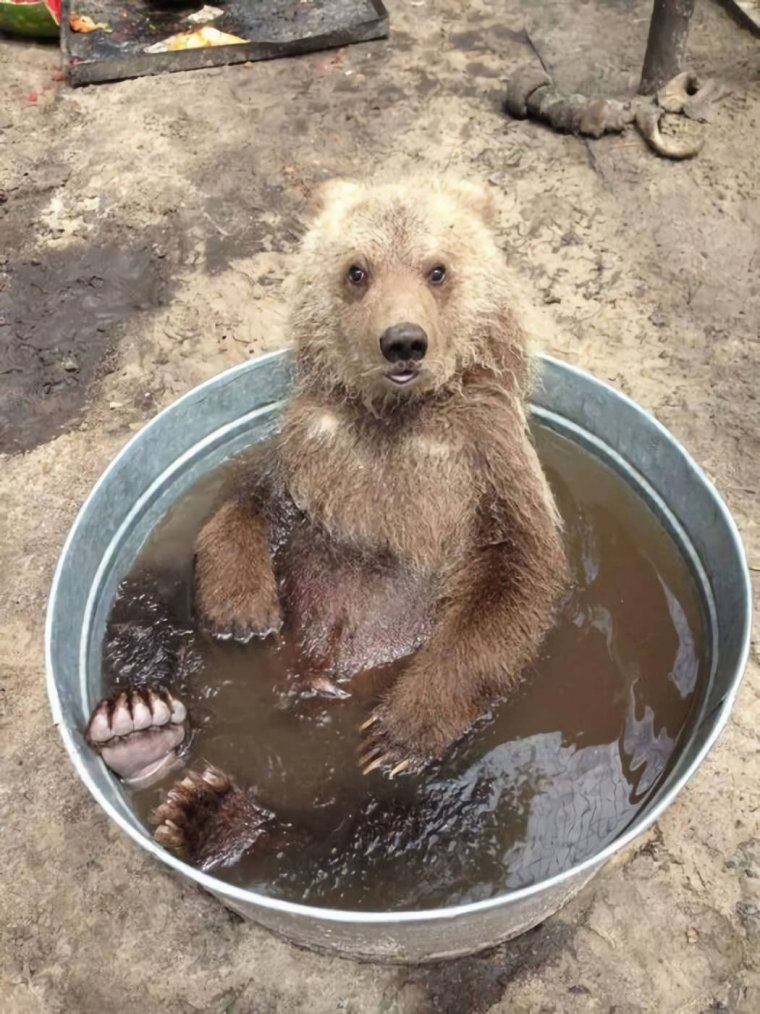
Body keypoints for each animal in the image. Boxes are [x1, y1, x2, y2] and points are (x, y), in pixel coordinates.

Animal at [85, 175, 568, 870]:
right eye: (356, 270)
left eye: (437, 269)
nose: (403, 340)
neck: (394, 417)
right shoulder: (311, 446)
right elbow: (248, 506)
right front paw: (243, 611)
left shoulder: (486, 465)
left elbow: (514, 580)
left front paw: (396, 735)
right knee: (148, 610)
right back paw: (144, 728)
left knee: (381, 827)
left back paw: (209, 803)